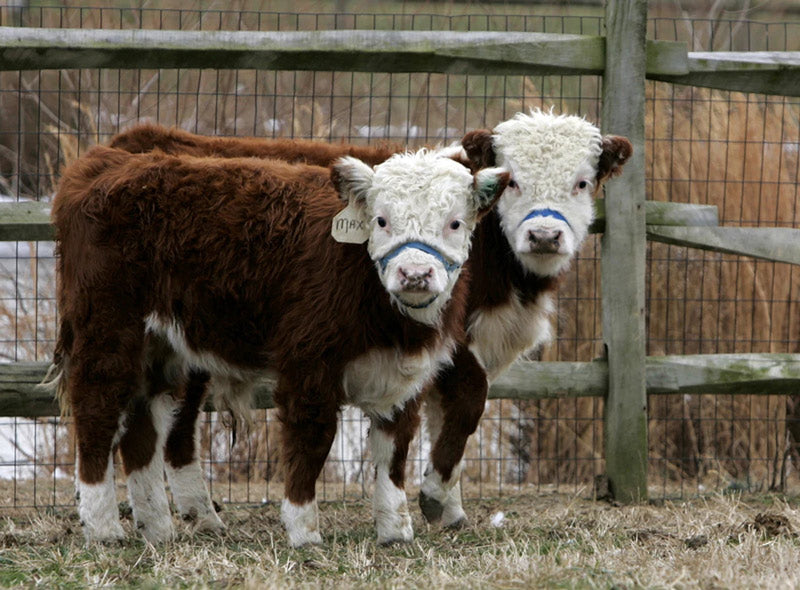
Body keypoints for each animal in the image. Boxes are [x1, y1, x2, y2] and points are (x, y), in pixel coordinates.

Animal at [51, 146, 506, 548]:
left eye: (454, 223)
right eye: (380, 220)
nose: (414, 274)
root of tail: (107, 162)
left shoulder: (405, 377)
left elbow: (394, 450)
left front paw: (395, 530)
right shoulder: (308, 363)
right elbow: (313, 438)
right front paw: (304, 530)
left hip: (161, 348)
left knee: (141, 427)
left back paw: (158, 529)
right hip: (108, 329)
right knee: (97, 409)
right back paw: (103, 527)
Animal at [108, 113, 632, 528]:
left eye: (582, 182)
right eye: (515, 181)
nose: (544, 235)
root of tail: (132, 140)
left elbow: (440, 418)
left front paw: (449, 508)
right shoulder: (452, 341)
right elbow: (468, 401)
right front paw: (435, 498)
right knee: (171, 426)